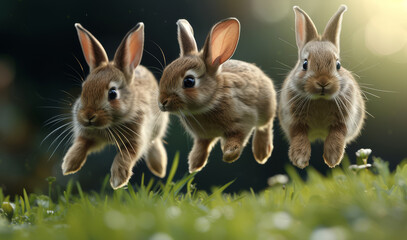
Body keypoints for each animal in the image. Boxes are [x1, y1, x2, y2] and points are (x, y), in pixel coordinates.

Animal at [60, 22, 169, 189]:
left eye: (112, 93)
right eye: (83, 88)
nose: (88, 116)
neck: (110, 125)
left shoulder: (137, 138)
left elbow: (126, 156)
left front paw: (118, 180)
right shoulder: (86, 134)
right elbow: (80, 145)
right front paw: (69, 165)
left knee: (155, 141)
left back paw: (159, 167)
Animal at [158, 18, 278, 172]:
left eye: (189, 81)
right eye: (166, 72)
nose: (162, 102)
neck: (213, 99)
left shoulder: (243, 122)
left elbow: (238, 137)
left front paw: (229, 155)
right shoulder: (203, 137)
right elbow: (202, 146)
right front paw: (194, 164)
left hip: (266, 109)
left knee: (265, 126)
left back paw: (261, 153)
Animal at [280, 5, 366, 169]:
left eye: (338, 65)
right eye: (305, 64)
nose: (323, 82)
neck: (320, 99)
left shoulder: (344, 120)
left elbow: (337, 134)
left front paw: (333, 158)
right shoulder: (294, 120)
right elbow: (299, 135)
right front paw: (300, 159)